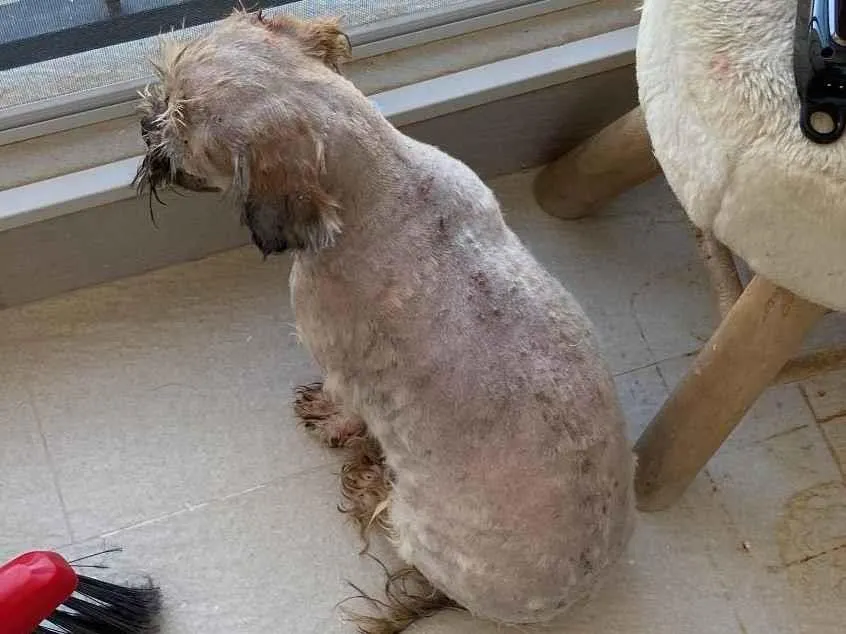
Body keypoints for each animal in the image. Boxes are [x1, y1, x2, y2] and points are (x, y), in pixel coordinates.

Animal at [135, 10, 634, 631]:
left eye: (181, 128)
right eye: (164, 84)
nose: (145, 125)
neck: (385, 181)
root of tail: (571, 597)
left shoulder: (338, 360)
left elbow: (343, 407)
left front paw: (328, 420)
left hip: (419, 527)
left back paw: (371, 484)